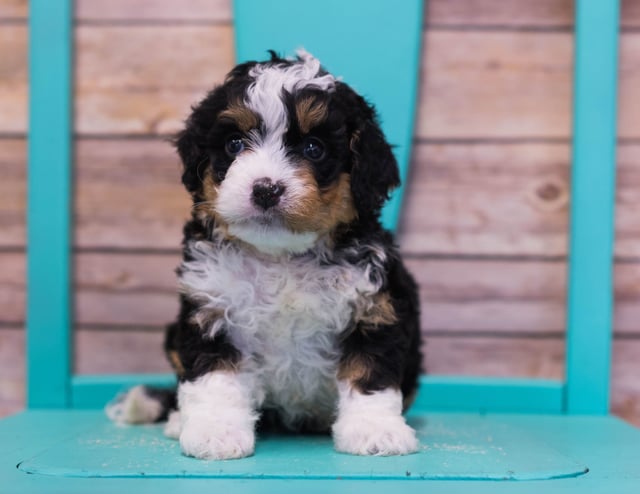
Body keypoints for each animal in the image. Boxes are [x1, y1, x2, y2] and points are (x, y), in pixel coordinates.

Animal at [107, 50, 422, 460]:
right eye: (235, 145)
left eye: (314, 149)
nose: (266, 189)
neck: (281, 255)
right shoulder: (211, 308)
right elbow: (214, 376)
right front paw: (215, 432)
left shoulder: (375, 307)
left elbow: (370, 371)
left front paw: (375, 431)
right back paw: (177, 421)